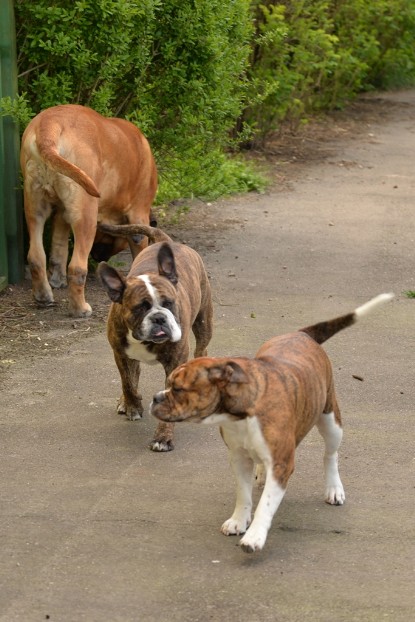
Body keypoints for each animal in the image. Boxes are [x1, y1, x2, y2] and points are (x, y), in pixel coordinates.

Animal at [152, 294, 394, 552]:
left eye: (178, 389)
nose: (155, 398)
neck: (242, 414)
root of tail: (302, 334)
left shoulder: (281, 464)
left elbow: (265, 505)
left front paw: (255, 535)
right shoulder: (239, 457)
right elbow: (243, 494)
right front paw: (239, 520)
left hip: (330, 420)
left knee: (330, 455)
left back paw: (334, 488)